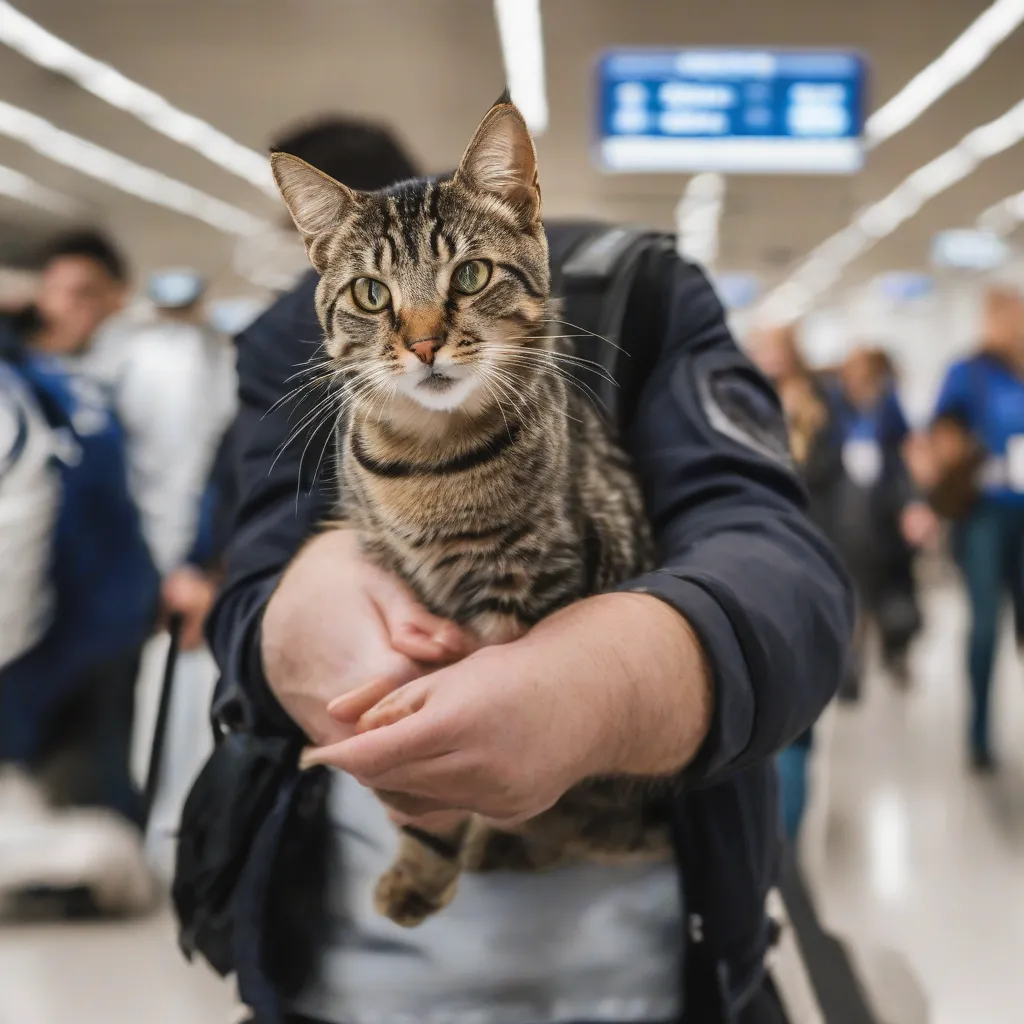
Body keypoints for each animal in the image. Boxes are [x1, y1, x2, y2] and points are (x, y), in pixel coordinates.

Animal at [272, 94, 671, 929]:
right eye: (371, 293)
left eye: (471, 274)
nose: (424, 344)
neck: (430, 463)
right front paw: (423, 864)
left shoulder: (533, 581)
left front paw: (474, 831)